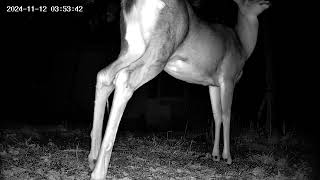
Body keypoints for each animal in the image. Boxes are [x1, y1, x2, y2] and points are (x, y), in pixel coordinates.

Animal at [88, 0, 270, 178]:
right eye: (248, 0)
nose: (266, 2)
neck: (243, 47)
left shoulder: (212, 84)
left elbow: (216, 115)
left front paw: (215, 155)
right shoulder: (228, 77)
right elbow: (226, 115)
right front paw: (227, 157)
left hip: (131, 47)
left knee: (104, 75)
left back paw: (93, 159)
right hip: (160, 49)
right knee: (124, 79)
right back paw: (99, 171)